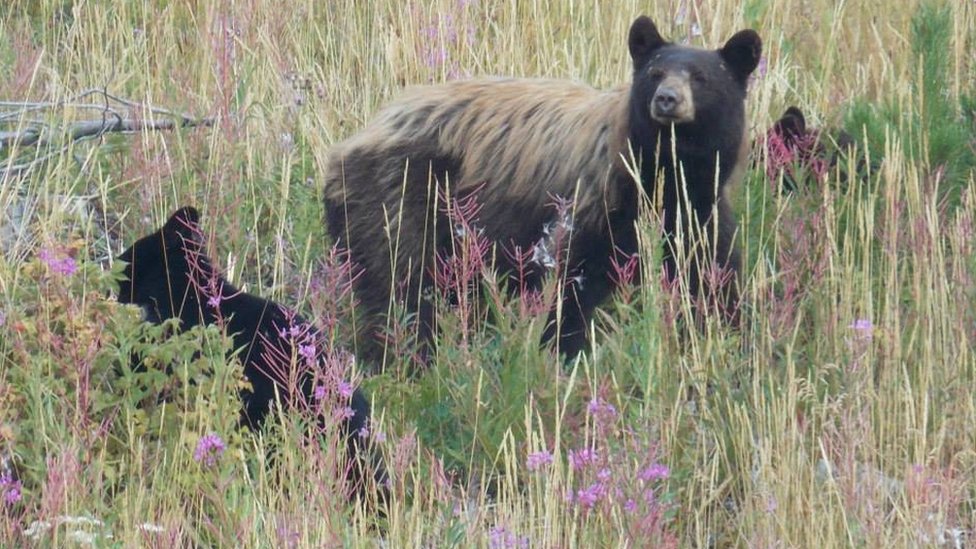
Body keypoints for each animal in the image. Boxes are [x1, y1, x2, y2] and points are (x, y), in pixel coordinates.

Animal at [324, 15, 760, 362]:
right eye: (655, 73)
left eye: (702, 78)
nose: (667, 99)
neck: (662, 176)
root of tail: (352, 141)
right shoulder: (590, 203)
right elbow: (568, 286)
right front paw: (561, 355)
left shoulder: (700, 214)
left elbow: (714, 279)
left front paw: (731, 339)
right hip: (400, 196)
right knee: (401, 284)